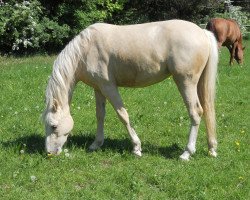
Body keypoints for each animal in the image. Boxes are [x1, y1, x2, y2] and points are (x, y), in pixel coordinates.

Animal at [43, 19, 219, 161]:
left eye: (53, 126)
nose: (49, 153)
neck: (86, 49)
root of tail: (202, 32)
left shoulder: (108, 87)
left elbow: (123, 115)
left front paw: (136, 148)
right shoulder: (98, 88)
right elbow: (100, 115)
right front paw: (96, 144)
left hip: (185, 82)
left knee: (196, 112)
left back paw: (187, 153)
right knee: (206, 110)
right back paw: (211, 148)